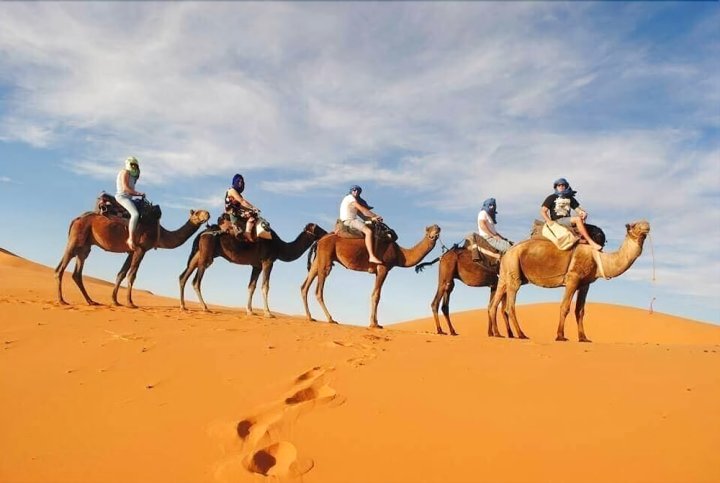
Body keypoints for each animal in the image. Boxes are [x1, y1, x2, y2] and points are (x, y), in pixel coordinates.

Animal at [56, 206, 210, 308]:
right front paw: (130, 303)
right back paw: (62, 300)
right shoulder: (141, 249)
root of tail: (76, 219)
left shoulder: (131, 251)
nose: (208, 214)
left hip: (85, 247)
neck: (161, 233)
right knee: (60, 268)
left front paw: (115, 301)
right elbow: (132, 275)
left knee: (77, 272)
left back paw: (91, 301)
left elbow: (121, 273)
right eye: (197, 213)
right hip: (76, 239)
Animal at [179, 223, 328, 318]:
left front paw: (250, 311)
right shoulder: (268, 262)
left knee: (184, 275)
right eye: (318, 228)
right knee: (196, 281)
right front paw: (268, 313)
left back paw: (183, 305)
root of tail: (202, 233)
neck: (280, 246)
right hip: (207, 253)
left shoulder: (256, 266)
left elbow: (251, 286)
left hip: (199, 252)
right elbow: (265, 286)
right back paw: (204, 307)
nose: (327, 233)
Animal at [300, 225, 442, 328]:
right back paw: (331, 319)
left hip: (318, 259)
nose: (436, 231)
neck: (400, 254)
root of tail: (319, 241)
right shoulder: (383, 268)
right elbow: (376, 295)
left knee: (304, 286)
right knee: (318, 290)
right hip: (326, 260)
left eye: (437, 228)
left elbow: (375, 294)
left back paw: (309, 317)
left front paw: (376, 322)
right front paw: (374, 324)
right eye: (429, 229)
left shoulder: (378, 271)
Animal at [490, 221, 652, 342]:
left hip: (504, 275)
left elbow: (580, 310)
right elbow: (565, 307)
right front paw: (560, 336)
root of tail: (506, 252)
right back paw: (521, 334)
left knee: (494, 303)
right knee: (510, 306)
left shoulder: (585, 284)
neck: (598, 258)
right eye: (635, 225)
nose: (647, 225)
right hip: (514, 269)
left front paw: (583, 338)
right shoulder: (572, 279)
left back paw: (497, 334)